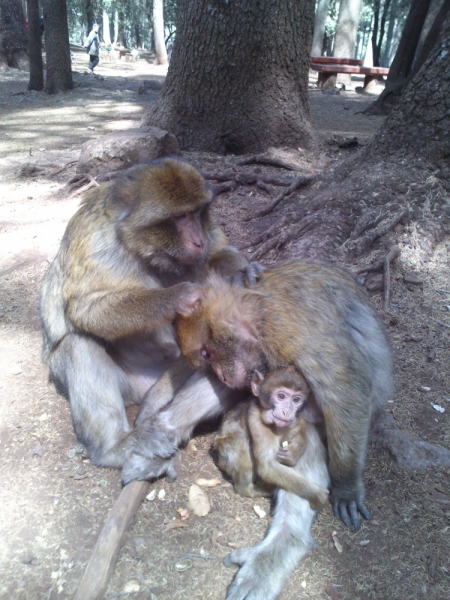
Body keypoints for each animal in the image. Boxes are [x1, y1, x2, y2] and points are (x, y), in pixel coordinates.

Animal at [40, 156, 260, 478]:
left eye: (197, 213)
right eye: (180, 217)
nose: (198, 240)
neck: (144, 248)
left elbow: (218, 254)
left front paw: (245, 270)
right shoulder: (97, 242)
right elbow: (84, 309)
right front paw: (180, 296)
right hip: (128, 384)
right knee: (78, 342)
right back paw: (116, 447)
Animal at [213, 364, 328, 508]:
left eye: (296, 400)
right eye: (281, 396)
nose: (287, 412)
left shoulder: (297, 418)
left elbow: (302, 429)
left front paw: (293, 452)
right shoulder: (257, 421)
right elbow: (267, 466)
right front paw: (318, 496)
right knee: (240, 440)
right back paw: (249, 489)